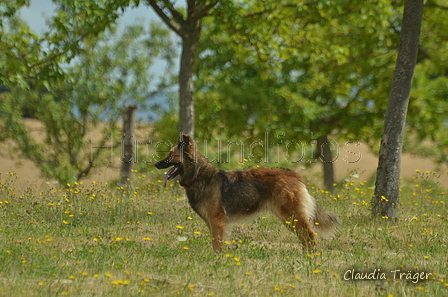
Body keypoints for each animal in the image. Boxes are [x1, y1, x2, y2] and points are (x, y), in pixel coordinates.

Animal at [155, 132, 340, 250]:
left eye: (170, 155)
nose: (156, 164)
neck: (198, 174)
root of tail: (293, 174)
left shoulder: (216, 220)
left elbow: (217, 243)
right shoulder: (212, 221)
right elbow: (216, 241)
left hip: (292, 215)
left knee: (310, 236)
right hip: (288, 218)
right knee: (305, 238)